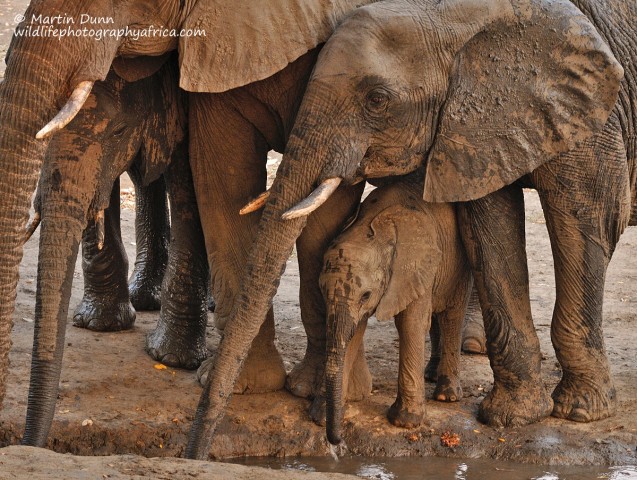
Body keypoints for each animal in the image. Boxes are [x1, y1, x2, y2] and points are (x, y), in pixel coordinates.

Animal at [320, 180, 470, 446]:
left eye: (366, 295)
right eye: (320, 289)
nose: (337, 441)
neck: (368, 228)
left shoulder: (413, 265)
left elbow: (411, 324)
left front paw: (404, 422)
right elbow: (354, 332)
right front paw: (320, 416)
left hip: (458, 261)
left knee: (452, 315)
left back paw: (446, 396)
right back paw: (430, 374)